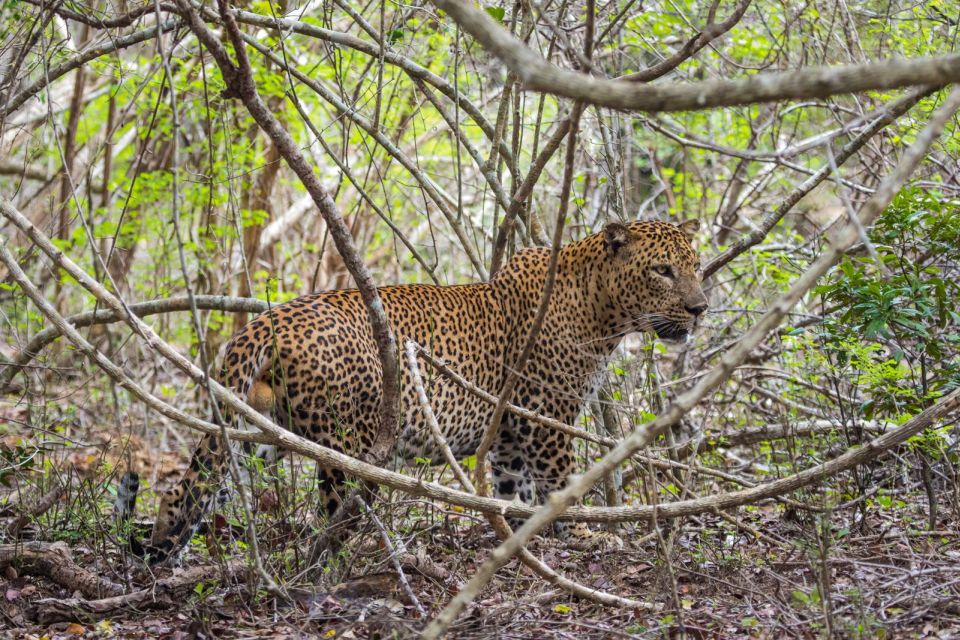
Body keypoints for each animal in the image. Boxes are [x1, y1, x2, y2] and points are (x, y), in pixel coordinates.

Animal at [125, 220, 704, 564]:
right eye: (662, 270)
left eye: (696, 266)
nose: (700, 308)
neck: (604, 311)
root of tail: (266, 321)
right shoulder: (546, 419)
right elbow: (560, 485)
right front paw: (583, 534)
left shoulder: (511, 435)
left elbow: (515, 490)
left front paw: (518, 533)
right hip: (349, 441)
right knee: (335, 512)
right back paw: (367, 556)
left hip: (253, 428)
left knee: (191, 488)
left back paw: (163, 549)